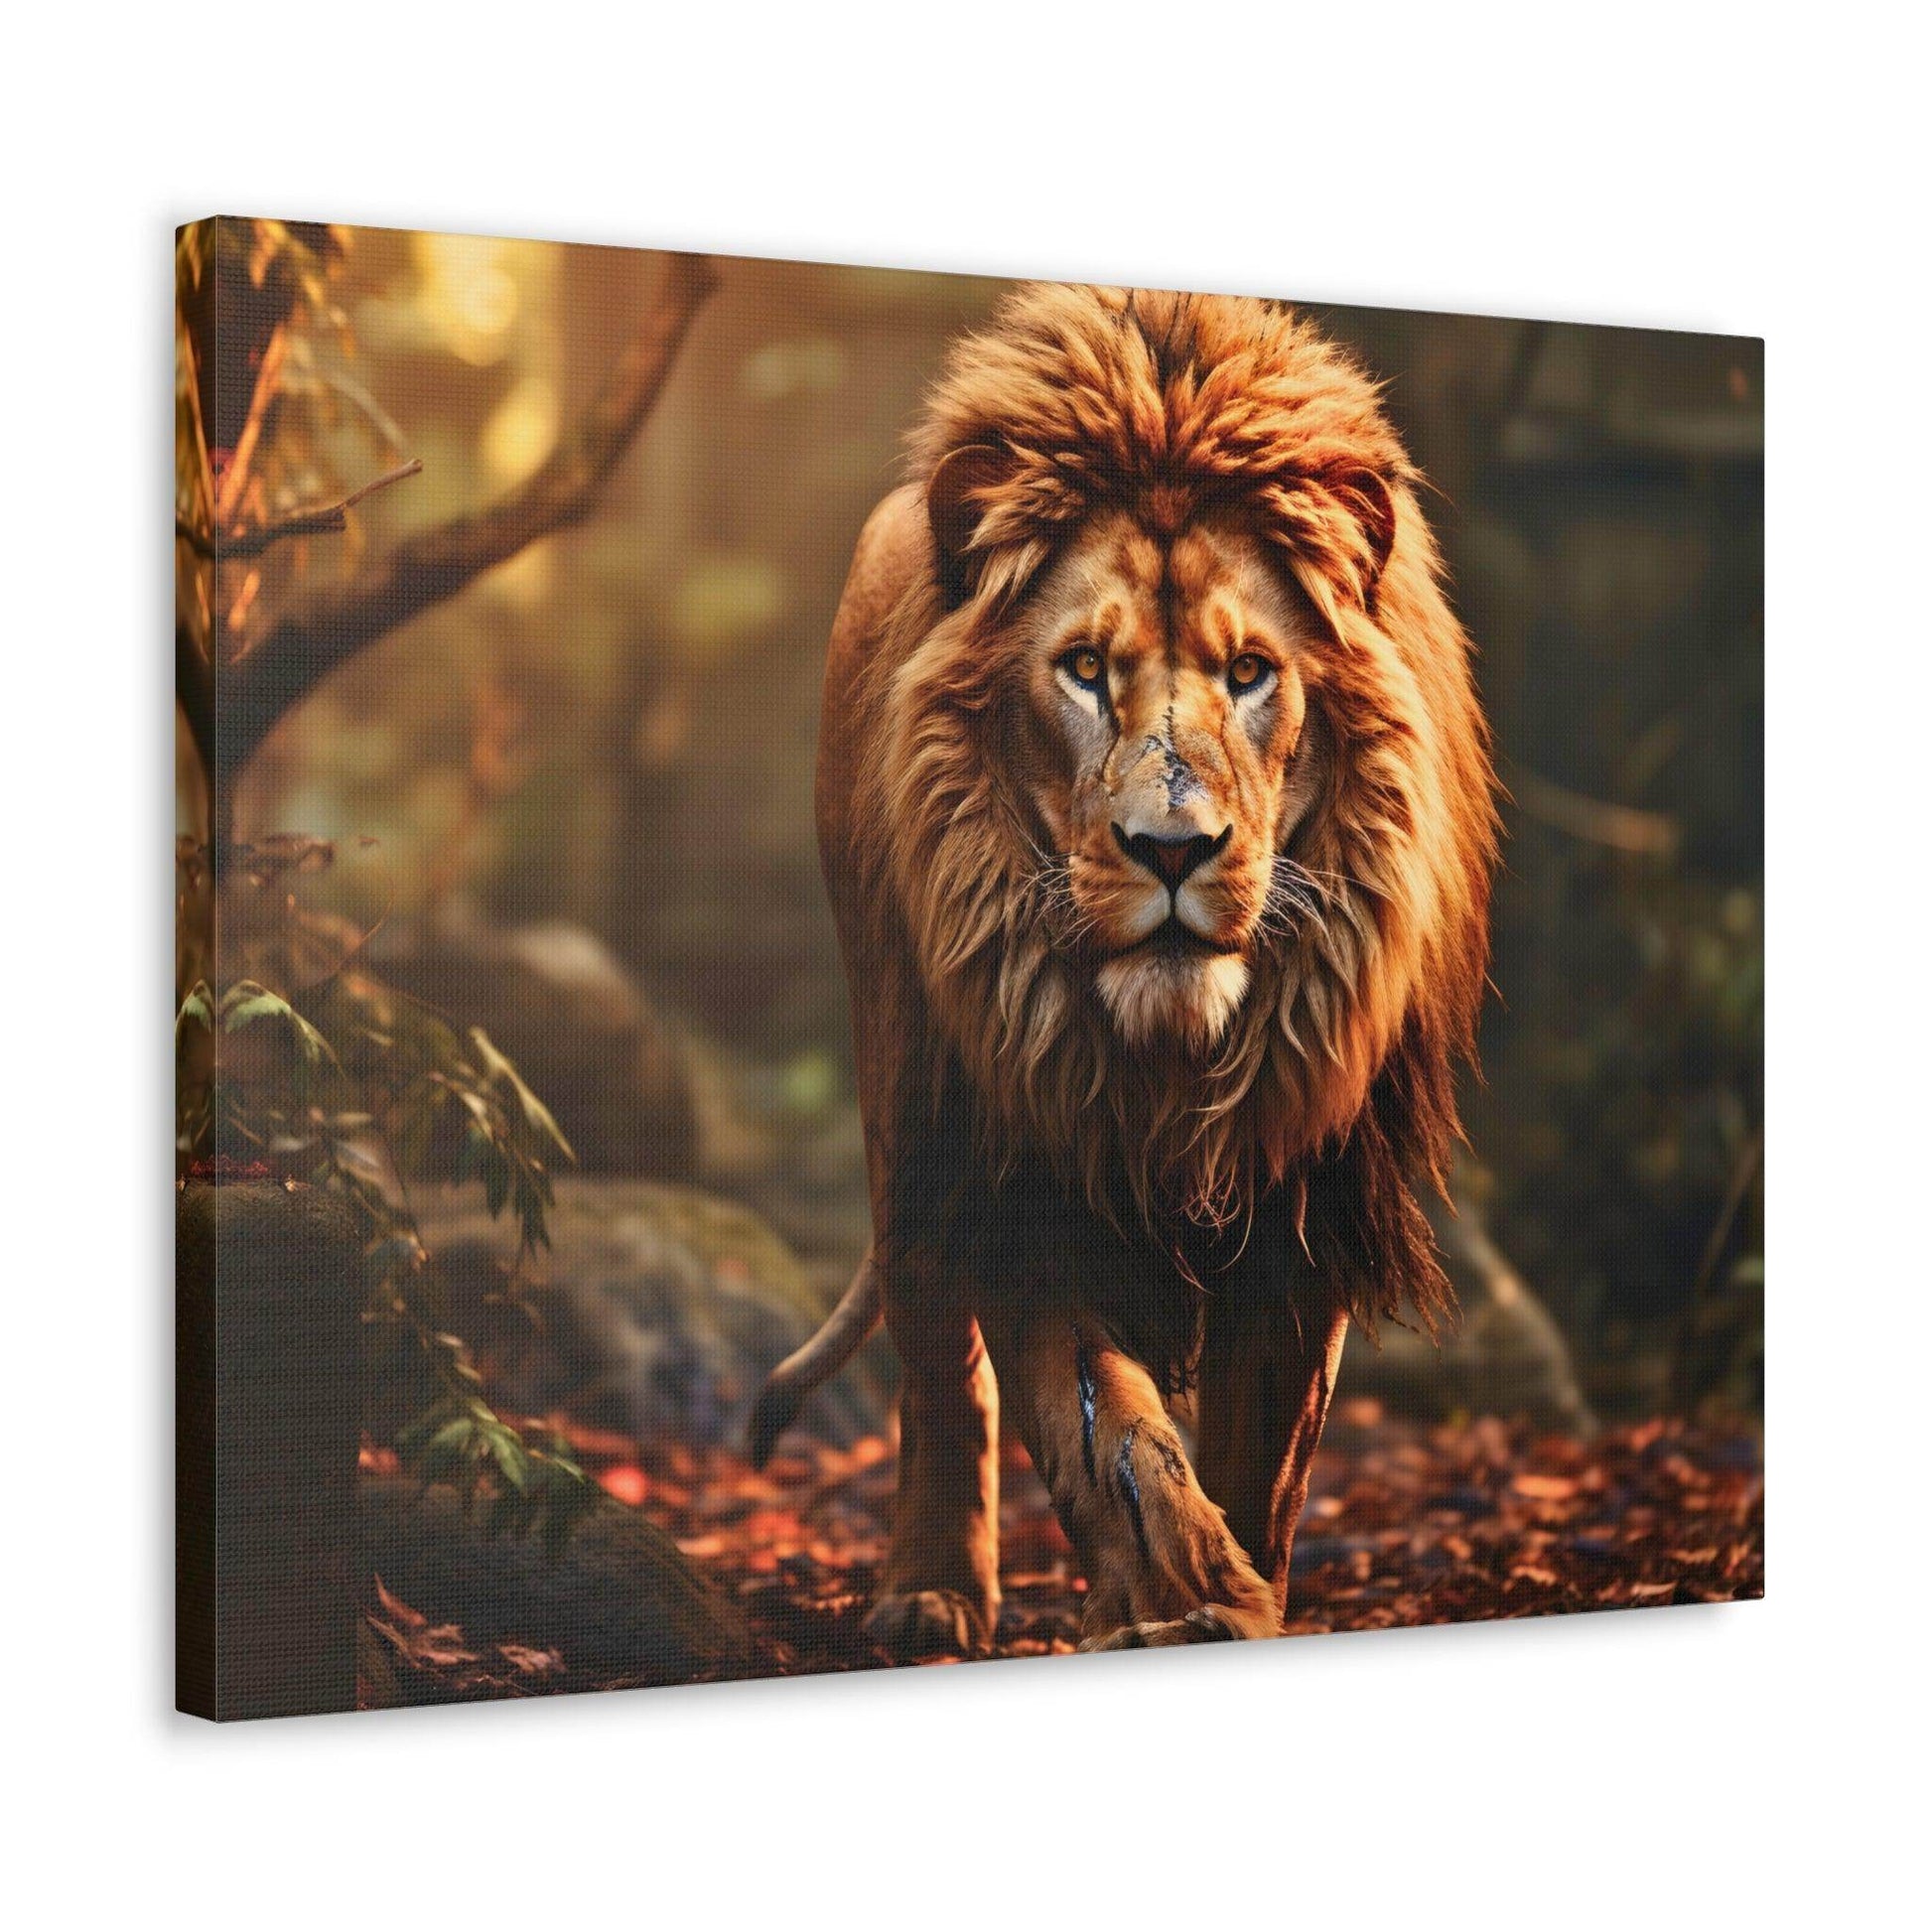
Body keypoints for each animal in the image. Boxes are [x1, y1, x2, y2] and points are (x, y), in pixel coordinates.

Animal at [750, 284, 1498, 1657]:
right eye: (1085, 669)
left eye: (1249, 672)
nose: (1170, 848)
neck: (1175, 1062)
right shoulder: (1026, 1163)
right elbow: (1108, 1435)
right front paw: (1184, 1596)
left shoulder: (1302, 1203)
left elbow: (1262, 1459)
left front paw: (1233, 1593)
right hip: (906, 1092)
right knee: (938, 1360)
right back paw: (930, 1591)